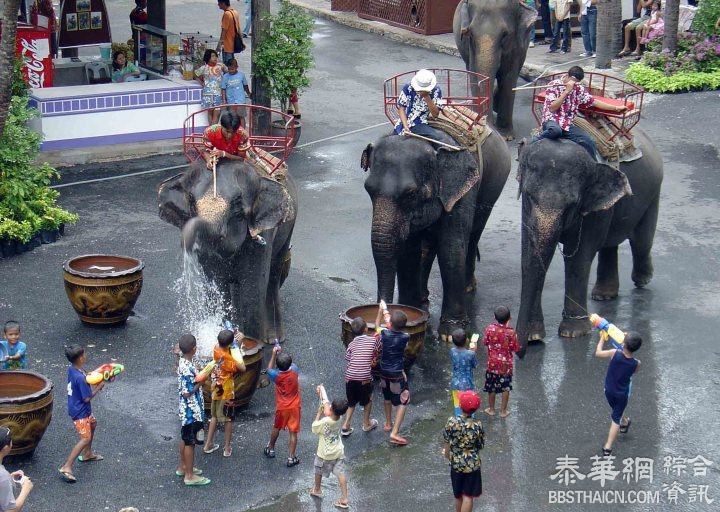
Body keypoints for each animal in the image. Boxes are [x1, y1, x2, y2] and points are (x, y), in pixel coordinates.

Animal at [159, 160, 296, 344]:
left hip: (288, 228)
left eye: (237, 204)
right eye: (191, 201)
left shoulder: (261, 238)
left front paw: (251, 343)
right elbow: (215, 283)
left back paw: (274, 338)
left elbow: (253, 286)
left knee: (274, 275)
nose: (185, 241)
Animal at [360, 129, 512, 336]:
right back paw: (423, 298)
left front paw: (451, 332)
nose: (380, 325)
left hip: (493, 186)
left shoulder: (460, 194)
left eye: (410, 194)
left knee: (474, 235)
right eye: (368, 189)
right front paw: (410, 310)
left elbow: (451, 248)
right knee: (428, 247)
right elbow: (409, 251)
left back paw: (468, 287)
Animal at [452, 0, 536, 140]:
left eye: (504, 35)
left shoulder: (517, 46)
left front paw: (506, 136)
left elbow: (509, 77)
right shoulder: (470, 47)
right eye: (471, 34)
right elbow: (474, 72)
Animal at [516, 132, 664, 354]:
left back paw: (642, 280)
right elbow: (529, 254)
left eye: (572, 204)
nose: (520, 350)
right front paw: (534, 336)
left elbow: (579, 257)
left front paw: (574, 332)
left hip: (652, 193)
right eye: (529, 196)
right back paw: (604, 296)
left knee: (641, 242)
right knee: (610, 244)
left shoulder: (592, 208)